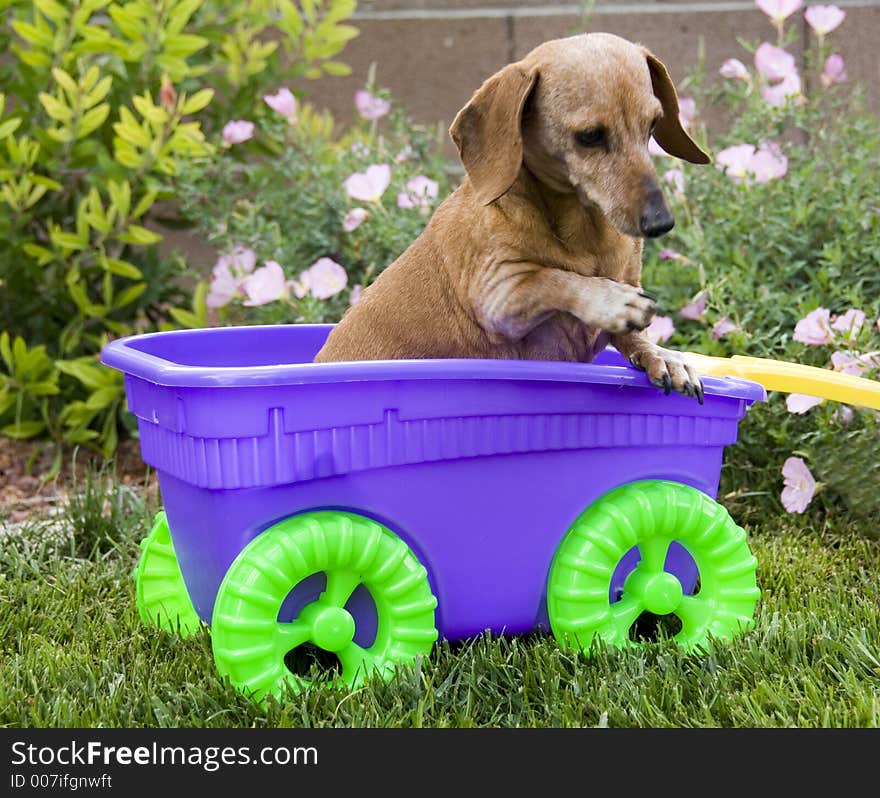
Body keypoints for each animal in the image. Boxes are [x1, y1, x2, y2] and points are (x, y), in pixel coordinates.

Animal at [316, 34, 708, 404]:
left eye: (653, 125)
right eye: (590, 136)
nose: (660, 222)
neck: (584, 232)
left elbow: (635, 337)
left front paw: (663, 356)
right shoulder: (500, 296)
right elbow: (554, 278)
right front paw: (610, 300)